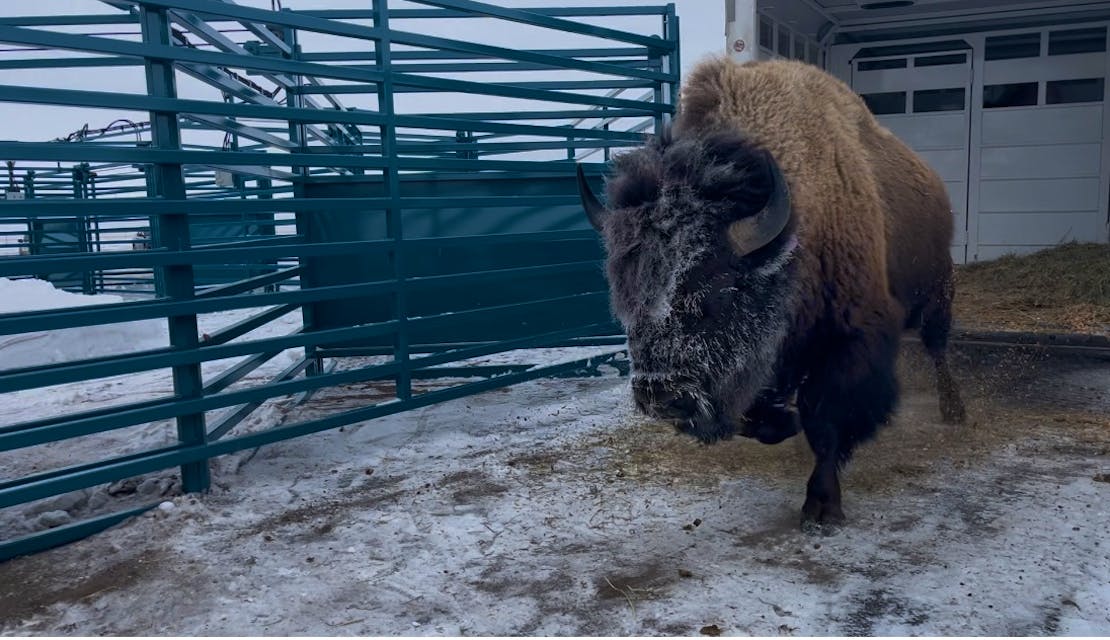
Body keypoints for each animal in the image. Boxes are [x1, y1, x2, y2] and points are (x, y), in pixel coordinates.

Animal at [577, 57, 966, 529]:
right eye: (625, 302)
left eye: (714, 296)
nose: (660, 395)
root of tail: (934, 185)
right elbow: (763, 417)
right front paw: (785, 422)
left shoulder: (849, 341)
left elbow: (826, 421)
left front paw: (822, 506)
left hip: (937, 290)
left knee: (937, 346)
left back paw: (955, 411)